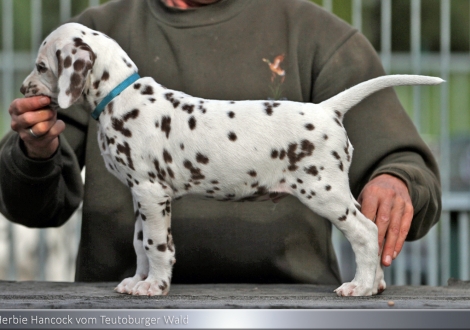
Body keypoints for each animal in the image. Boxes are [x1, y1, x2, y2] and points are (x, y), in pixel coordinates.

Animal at [19, 23, 444, 296]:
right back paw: (374, 284)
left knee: (366, 232)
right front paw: (137, 281)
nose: (23, 89)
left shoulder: (152, 193)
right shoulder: (143, 196)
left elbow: (156, 244)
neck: (120, 96)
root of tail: (327, 110)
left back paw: (361, 287)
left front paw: (154, 286)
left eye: (41, 66)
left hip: (325, 192)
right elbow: (140, 243)